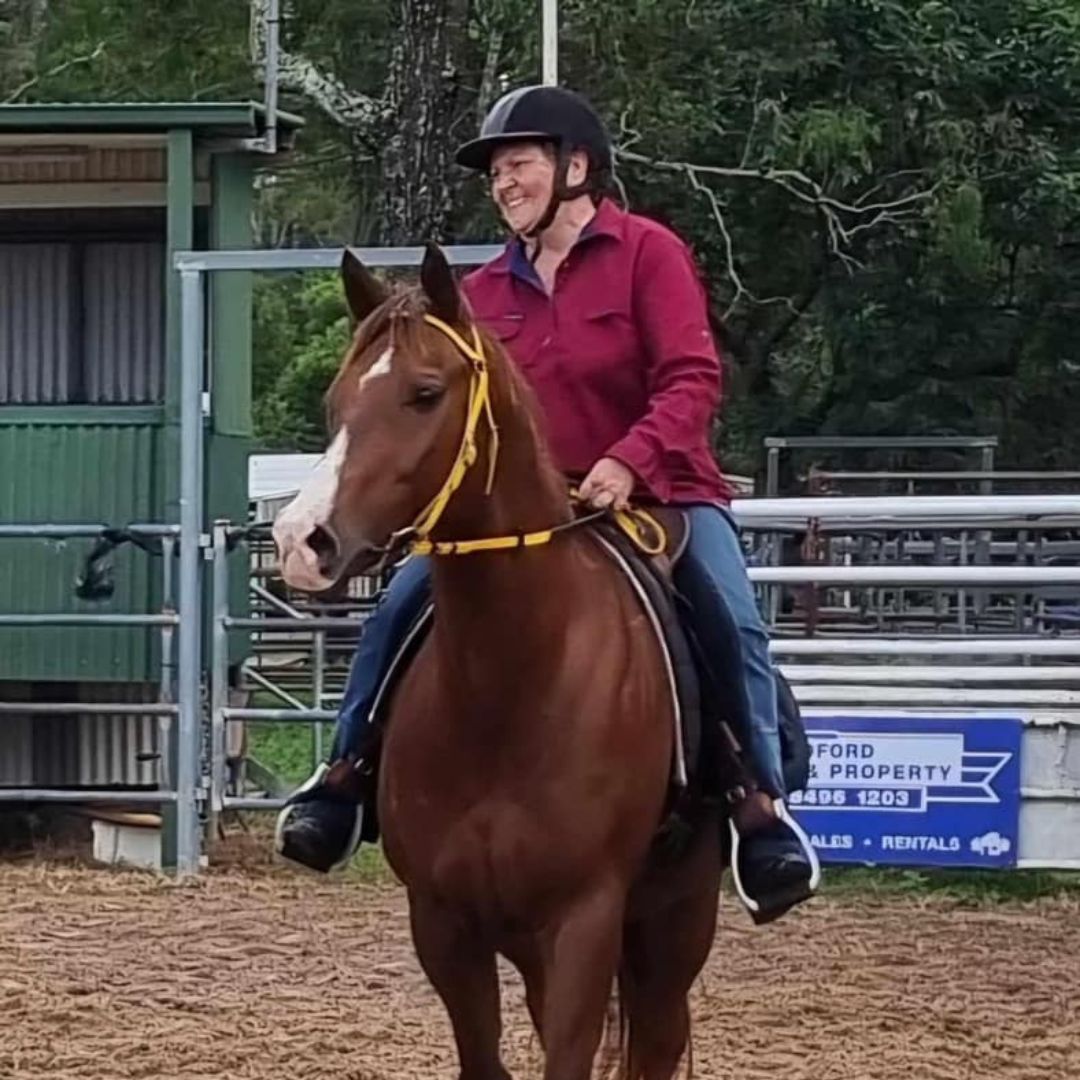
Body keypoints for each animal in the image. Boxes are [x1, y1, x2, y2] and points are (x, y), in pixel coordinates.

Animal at [274, 245, 721, 1080]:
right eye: (336, 400)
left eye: (424, 393)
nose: (299, 540)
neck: (511, 685)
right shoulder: (444, 925)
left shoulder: (585, 922)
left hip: (674, 926)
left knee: (655, 1039)